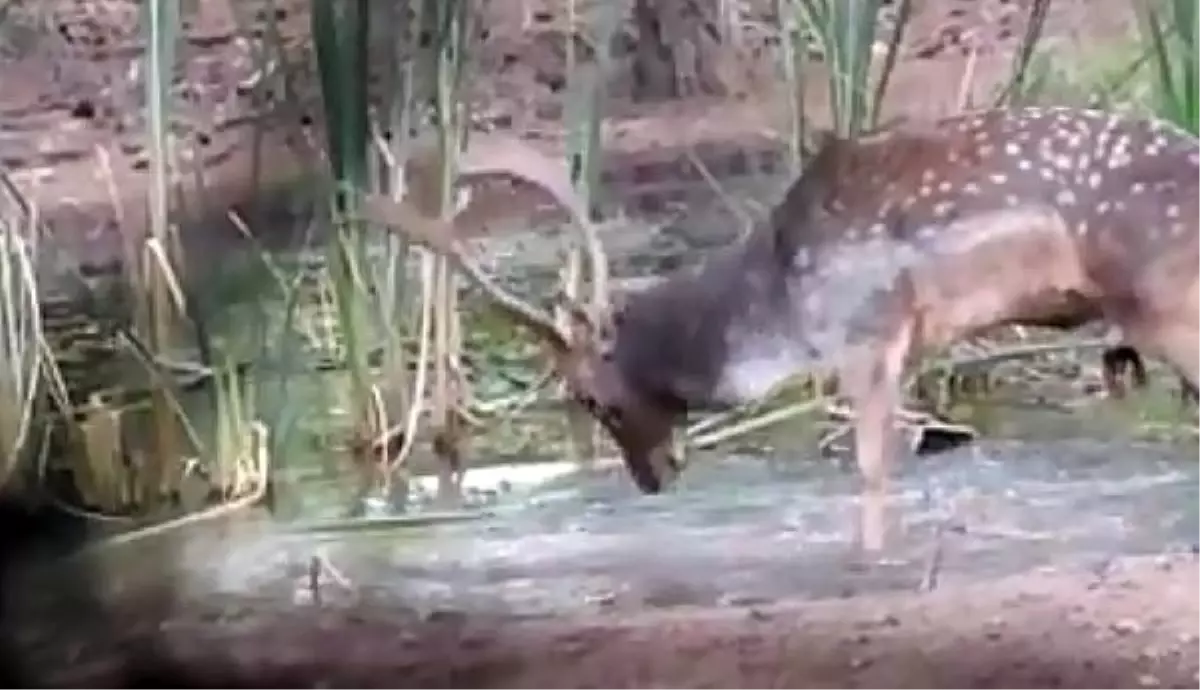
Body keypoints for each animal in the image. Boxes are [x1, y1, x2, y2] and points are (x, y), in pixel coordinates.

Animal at [369, 106, 1200, 552]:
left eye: (589, 397)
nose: (653, 477)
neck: (778, 311)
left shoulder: (866, 333)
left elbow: (870, 467)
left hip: (1165, 302)